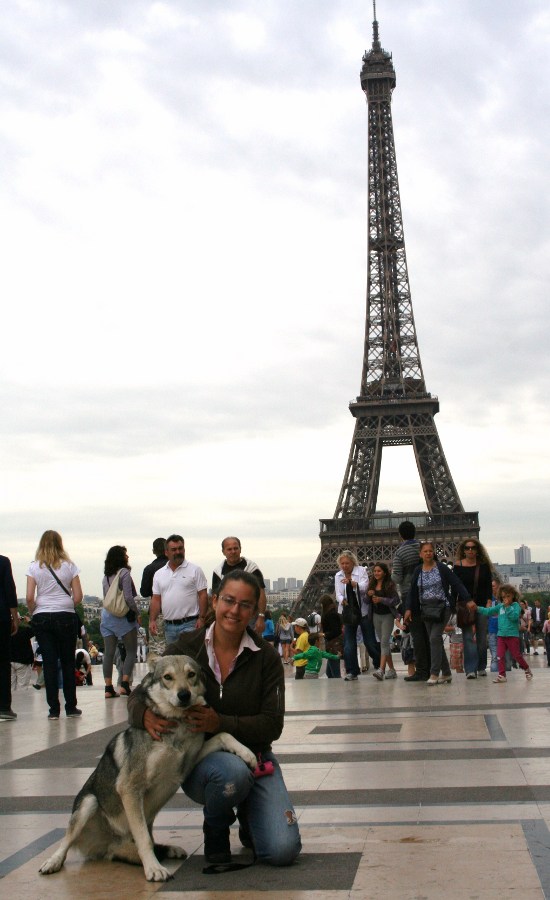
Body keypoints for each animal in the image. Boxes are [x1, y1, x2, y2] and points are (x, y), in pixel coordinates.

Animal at [38, 652, 258, 880]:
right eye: (167, 677)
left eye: (191, 674)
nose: (184, 695)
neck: (177, 726)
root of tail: (106, 846)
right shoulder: (129, 787)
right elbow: (143, 839)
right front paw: (153, 869)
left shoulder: (187, 764)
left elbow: (224, 734)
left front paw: (248, 755)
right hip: (89, 803)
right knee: (66, 841)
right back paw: (52, 862)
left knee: (131, 848)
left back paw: (169, 850)